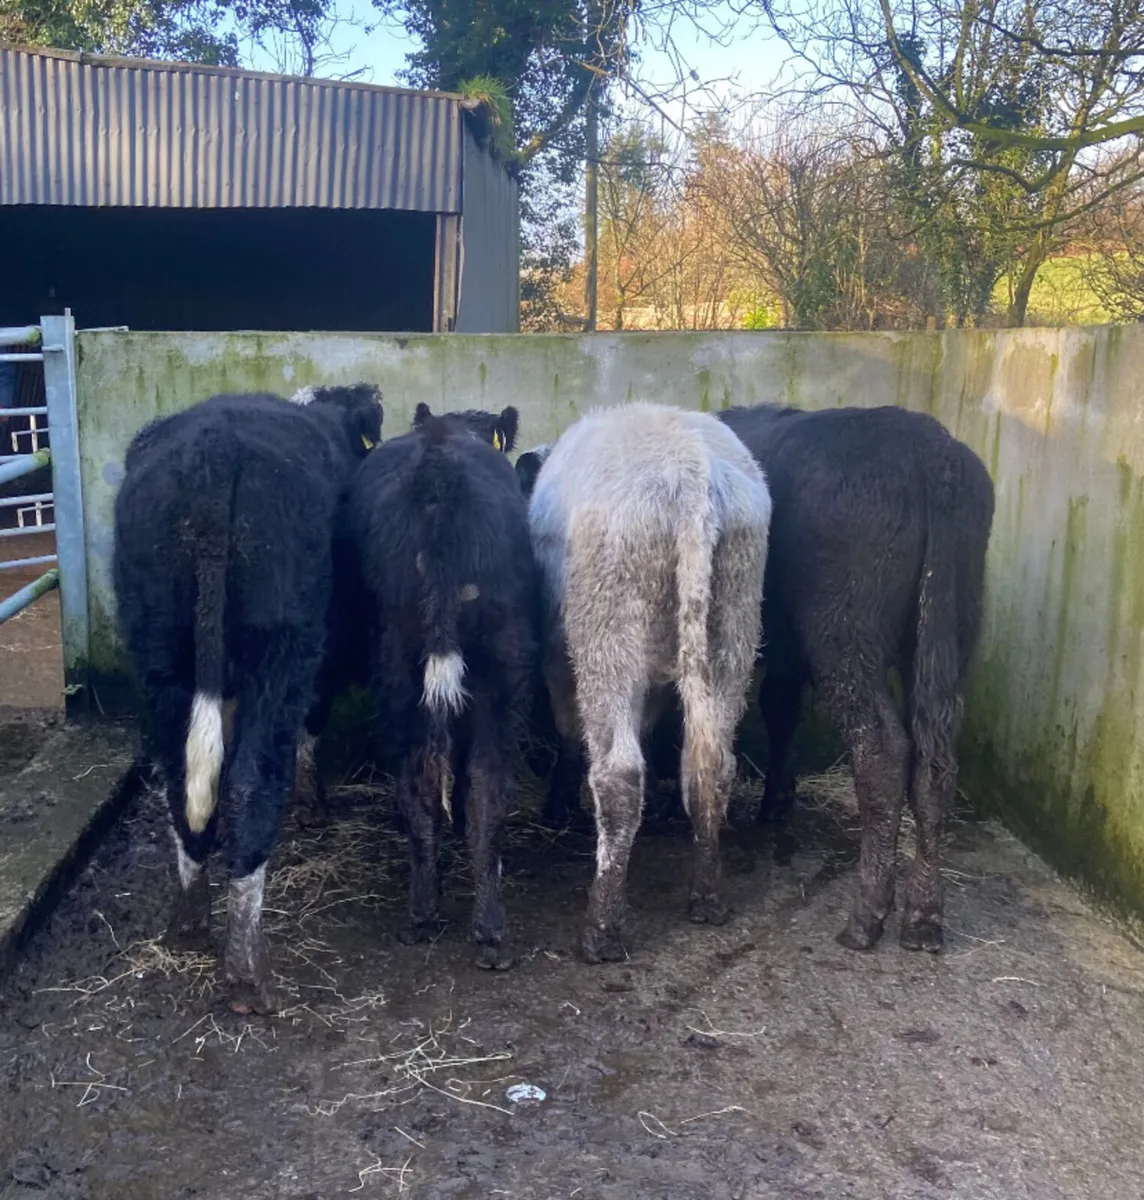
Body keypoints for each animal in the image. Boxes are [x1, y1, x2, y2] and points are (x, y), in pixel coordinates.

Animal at [113, 385, 383, 1014]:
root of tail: (213, 452)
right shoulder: (323, 652)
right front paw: (313, 803)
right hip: (282, 650)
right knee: (252, 784)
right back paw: (245, 971)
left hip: (159, 653)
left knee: (180, 781)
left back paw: (191, 922)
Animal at [347, 401, 534, 969]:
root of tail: (439, 469)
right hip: (495, 663)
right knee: (481, 784)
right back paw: (475, 923)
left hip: (405, 667)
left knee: (429, 780)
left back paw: (437, 914)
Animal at [521, 403, 771, 963]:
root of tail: (693, 472)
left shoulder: (556, 644)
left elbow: (567, 725)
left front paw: (557, 803)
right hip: (733, 625)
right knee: (712, 766)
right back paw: (706, 895)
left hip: (607, 631)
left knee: (618, 773)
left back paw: (602, 929)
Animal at [718, 402, 995, 954]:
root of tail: (931, 452)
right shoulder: (785, 649)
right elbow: (780, 709)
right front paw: (778, 798)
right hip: (947, 636)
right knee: (935, 763)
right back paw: (923, 915)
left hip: (845, 635)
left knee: (883, 751)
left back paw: (868, 913)